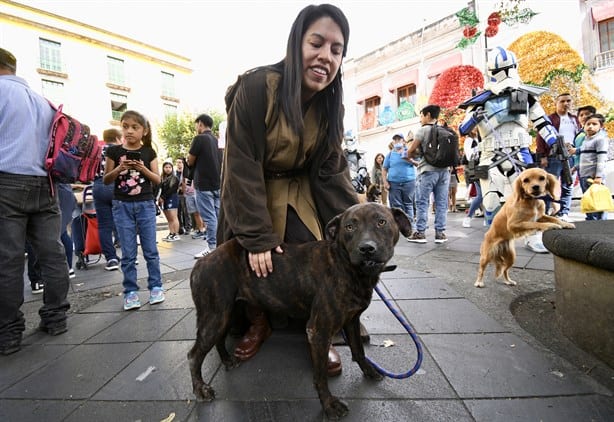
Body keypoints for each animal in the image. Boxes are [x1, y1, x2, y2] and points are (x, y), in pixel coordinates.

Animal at [188, 204, 414, 418]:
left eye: (382, 222)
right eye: (350, 227)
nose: (366, 248)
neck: (346, 265)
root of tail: (202, 262)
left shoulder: (351, 320)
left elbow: (358, 351)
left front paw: (369, 371)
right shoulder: (318, 331)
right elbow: (320, 376)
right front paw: (329, 405)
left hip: (226, 314)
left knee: (218, 340)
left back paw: (227, 360)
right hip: (215, 316)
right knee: (193, 355)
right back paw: (200, 390)